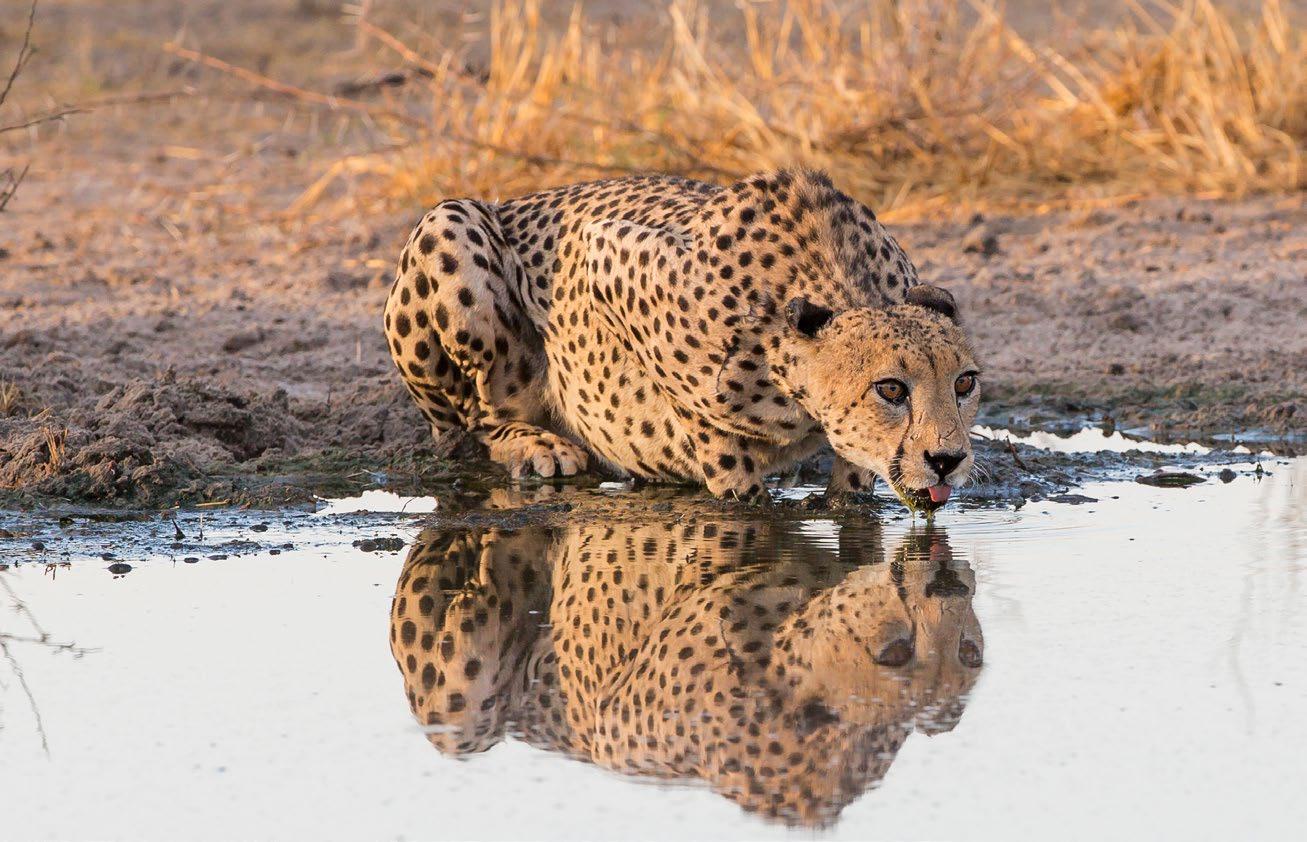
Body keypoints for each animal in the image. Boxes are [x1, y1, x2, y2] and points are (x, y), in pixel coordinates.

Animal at [383, 168, 981, 509]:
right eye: (891, 390)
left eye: (965, 384)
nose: (947, 460)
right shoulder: (602, 253)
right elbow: (704, 425)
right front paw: (740, 486)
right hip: (451, 223)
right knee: (474, 418)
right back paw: (538, 445)